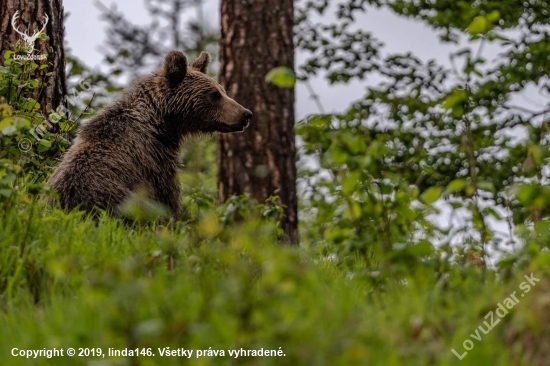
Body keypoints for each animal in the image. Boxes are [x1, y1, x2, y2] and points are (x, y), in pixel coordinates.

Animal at [48, 51, 254, 217]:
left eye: (223, 91)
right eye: (214, 94)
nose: (246, 114)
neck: (162, 124)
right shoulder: (154, 161)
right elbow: (168, 199)